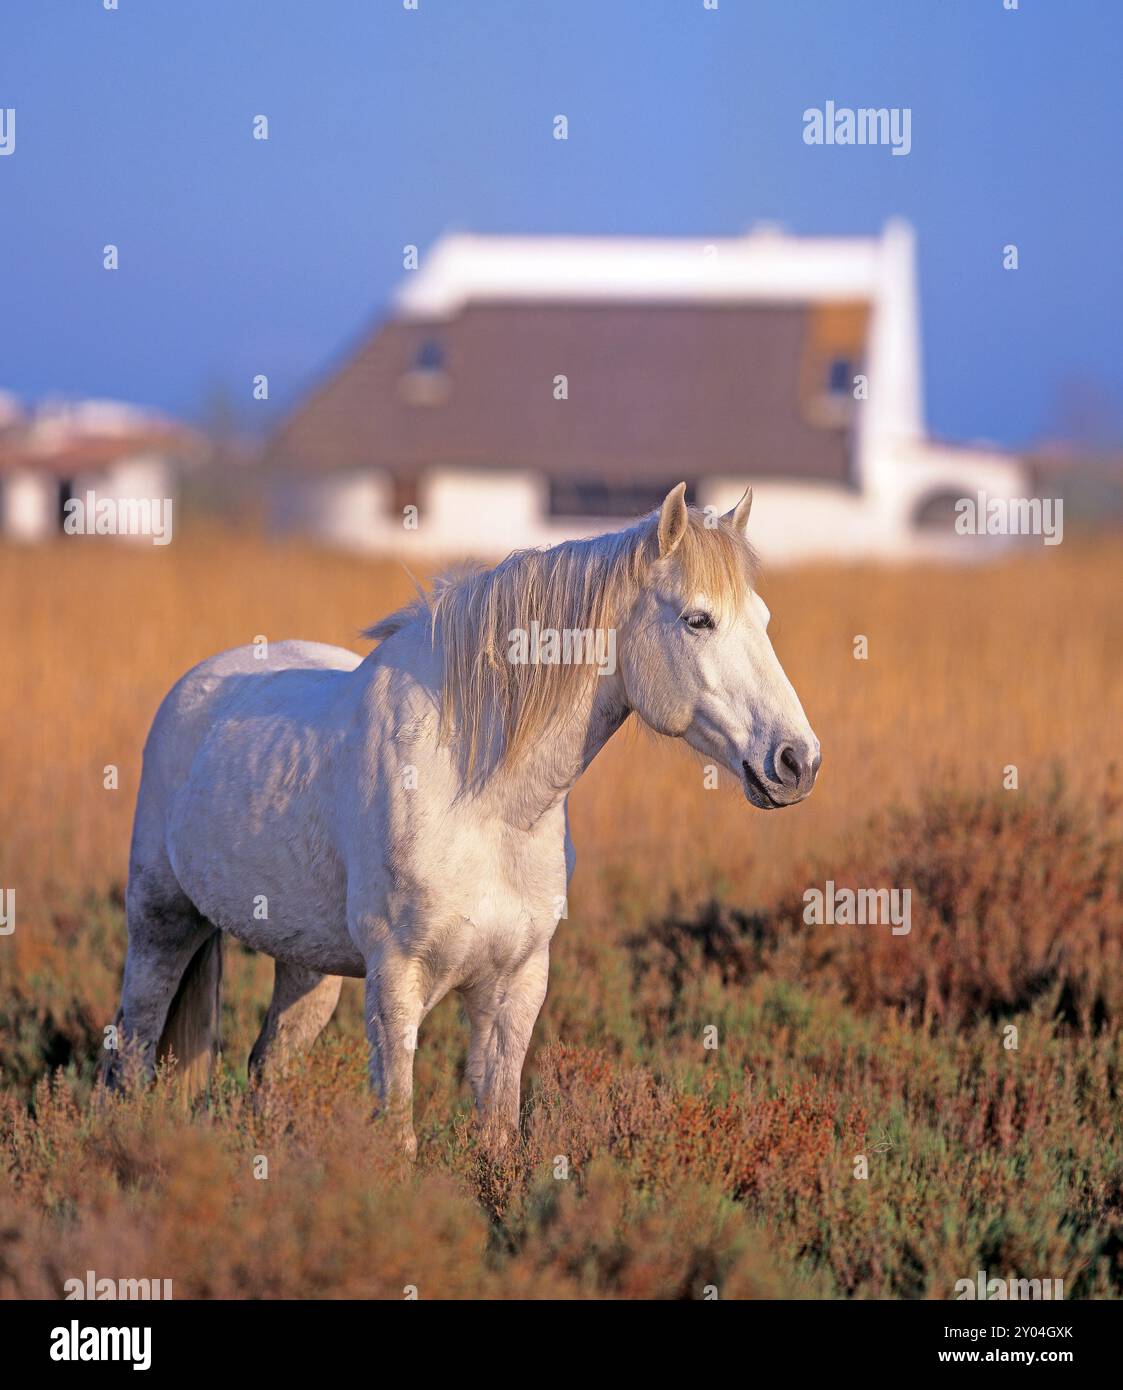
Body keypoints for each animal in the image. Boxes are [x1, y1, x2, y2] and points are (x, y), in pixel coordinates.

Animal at [111, 483, 817, 1156]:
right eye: (698, 619)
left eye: (763, 619)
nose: (797, 761)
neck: (486, 804)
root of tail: (195, 687)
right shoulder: (396, 983)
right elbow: (399, 1133)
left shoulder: (516, 985)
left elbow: (497, 1133)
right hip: (162, 924)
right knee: (131, 1057)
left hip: (306, 968)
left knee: (267, 1068)